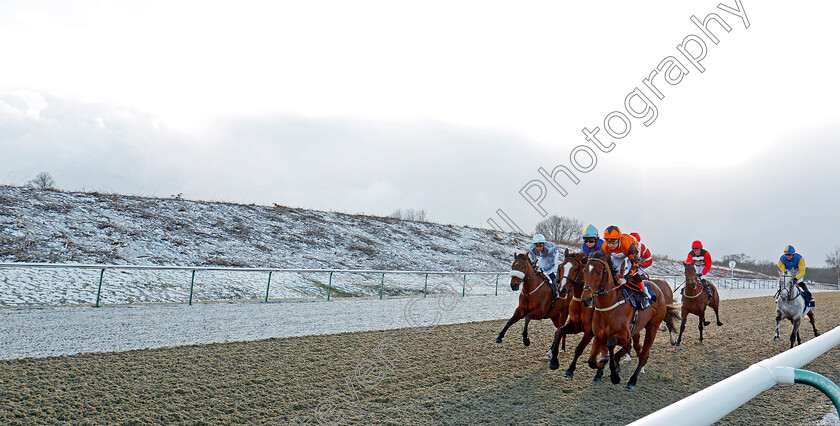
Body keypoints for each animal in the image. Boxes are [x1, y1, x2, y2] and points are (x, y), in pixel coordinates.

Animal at [584, 255, 684, 392]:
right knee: (636, 348)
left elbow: (613, 344)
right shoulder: (600, 335)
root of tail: (658, 288)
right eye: (584, 271)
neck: (610, 305)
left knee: (644, 355)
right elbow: (592, 361)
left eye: (599, 272)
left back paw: (632, 381)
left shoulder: (623, 334)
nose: (586, 298)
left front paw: (615, 375)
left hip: (652, 326)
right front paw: (602, 370)